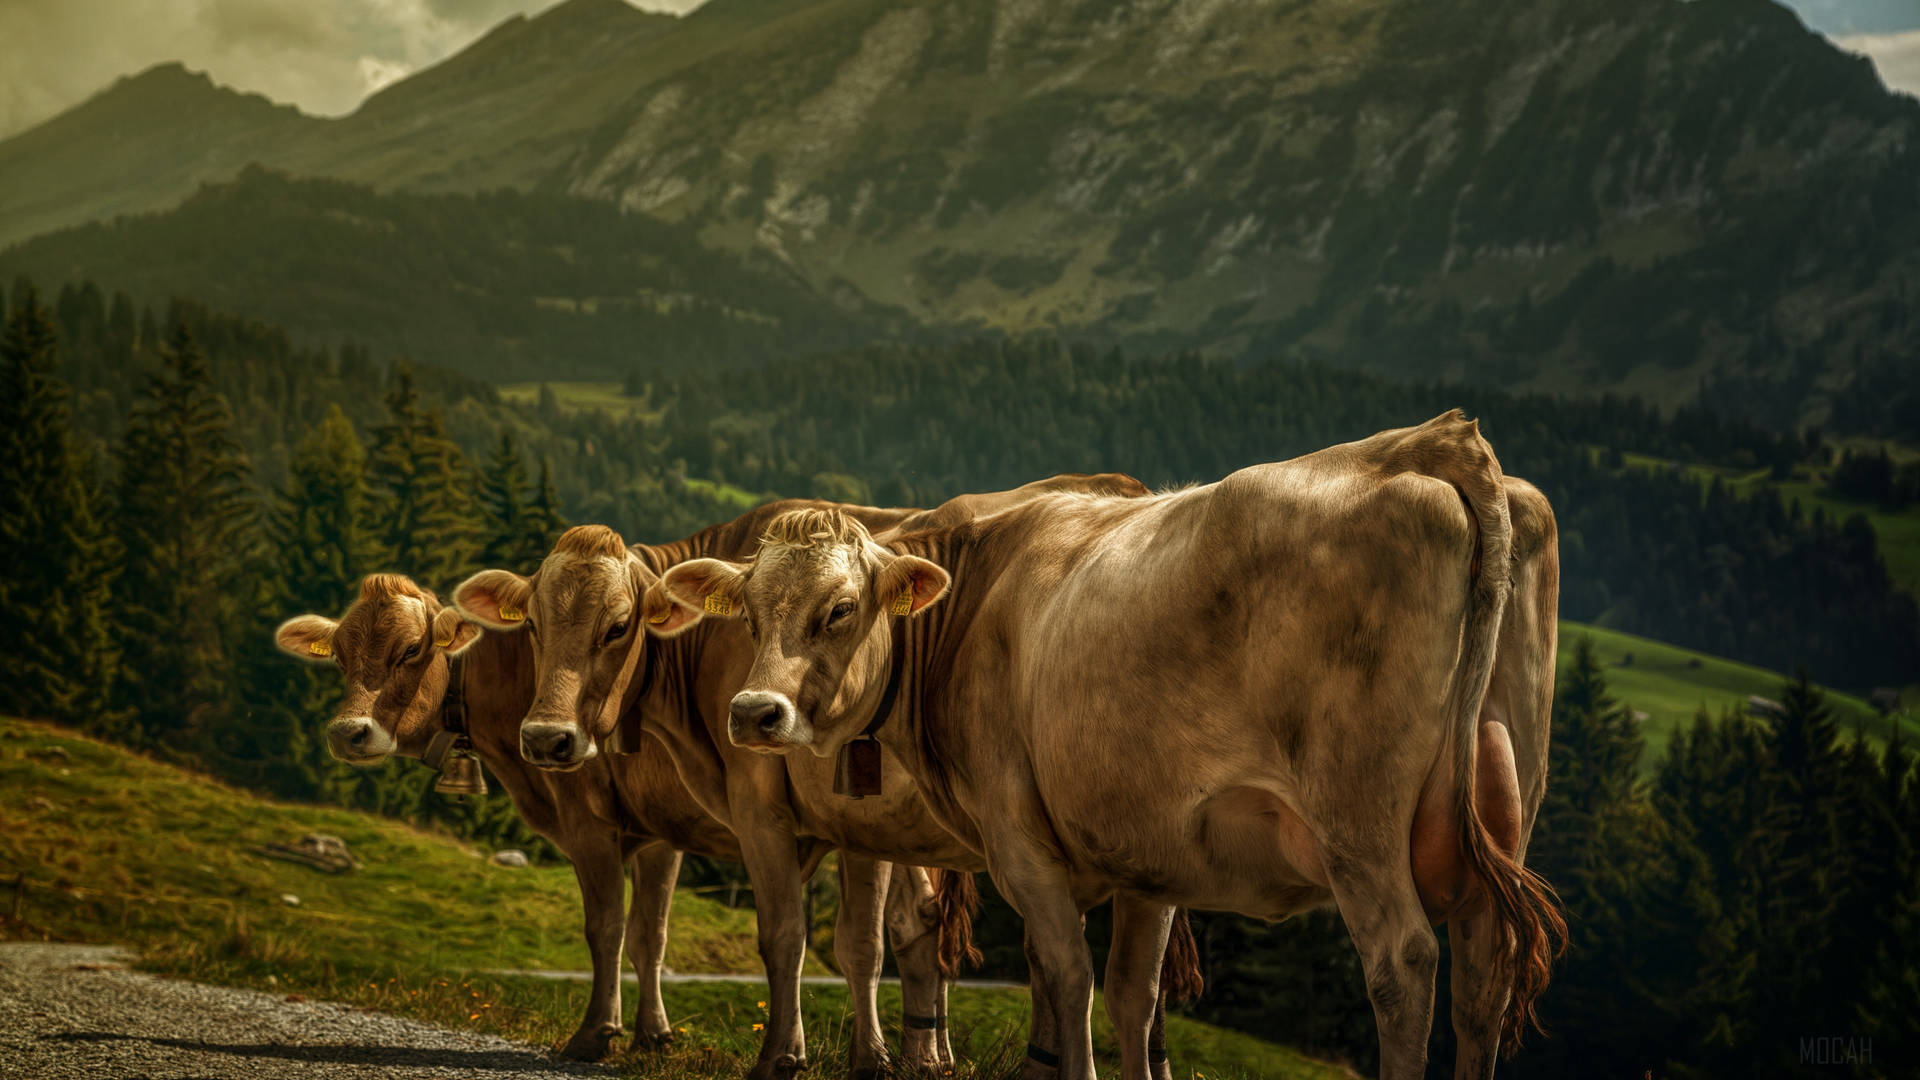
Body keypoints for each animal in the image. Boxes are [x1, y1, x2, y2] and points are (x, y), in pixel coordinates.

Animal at [268, 568, 952, 1060]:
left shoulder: (588, 822)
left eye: (411, 649)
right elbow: (651, 933)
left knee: (880, 934)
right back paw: (929, 1055)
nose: (348, 732)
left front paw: (597, 1034)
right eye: (338, 656)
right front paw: (654, 1034)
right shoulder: (659, 834)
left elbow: (606, 927)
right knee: (924, 924)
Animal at [449, 476, 1198, 1076]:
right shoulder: (852, 826)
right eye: (533, 625)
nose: (547, 738)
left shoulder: (744, 809)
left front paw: (770, 1054)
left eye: (618, 626)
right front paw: (870, 1058)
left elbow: (765, 934)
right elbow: (854, 945)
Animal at [656, 413, 1559, 1076]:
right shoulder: (1150, 849)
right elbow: (1131, 991)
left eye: (841, 609)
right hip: (1503, 806)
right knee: (1484, 974)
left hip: (1357, 821)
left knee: (1402, 966)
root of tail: (1429, 441)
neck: (975, 597)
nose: (755, 712)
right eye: (748, 612)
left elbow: (1066, 975)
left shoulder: (1020, 839)